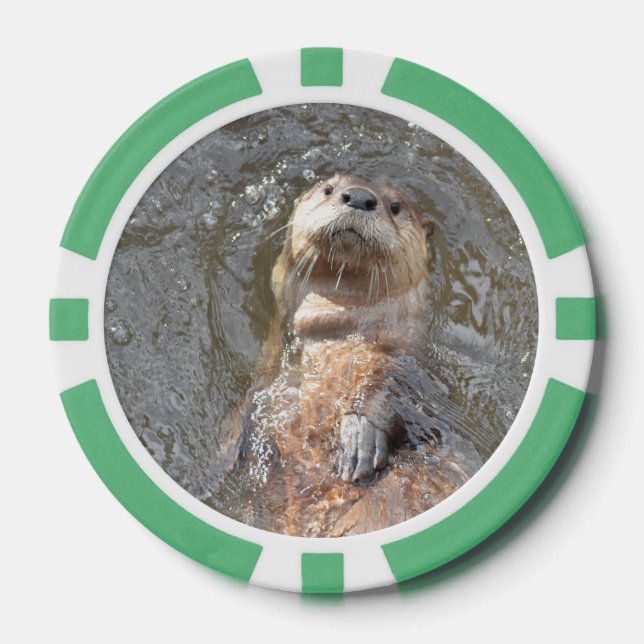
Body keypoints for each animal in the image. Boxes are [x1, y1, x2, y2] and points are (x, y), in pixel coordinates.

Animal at [205, 174, 482, 537]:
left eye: (396, 206)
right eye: (328, 189)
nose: (361, 197)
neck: (335, 335)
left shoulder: (410, 365)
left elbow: (390, 387)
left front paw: (360, 437)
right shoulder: (267, 373)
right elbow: (246, 406)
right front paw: (222, 456)